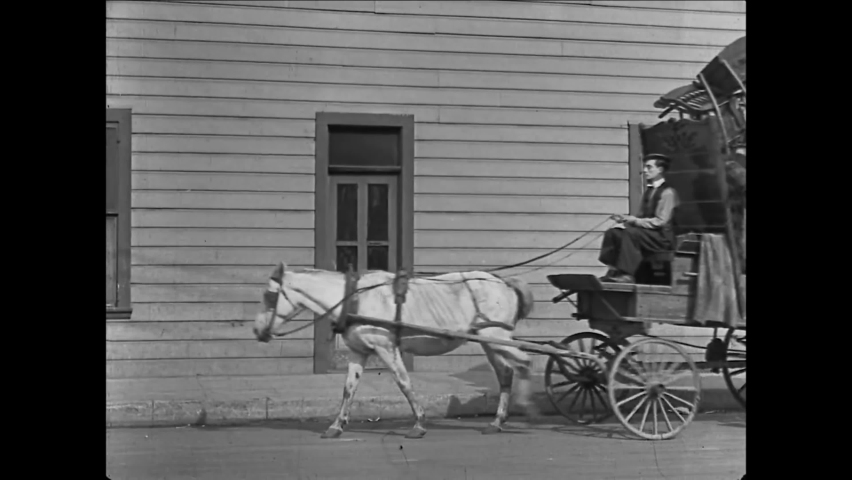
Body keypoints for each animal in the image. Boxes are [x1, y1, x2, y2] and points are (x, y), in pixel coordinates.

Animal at [251, 262, 540, 438]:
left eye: (269, 296)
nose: (257, 330)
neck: (354, 299)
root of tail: (504, 282)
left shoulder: (386, 348)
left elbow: (403, 382)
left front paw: (419, 423)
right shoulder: (358, 351)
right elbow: (348, 389)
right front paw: (336, 426)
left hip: (495, 336)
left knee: (525, 363)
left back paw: (527, 410)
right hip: (490, 340)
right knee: (506, 373)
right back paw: (497, 421)